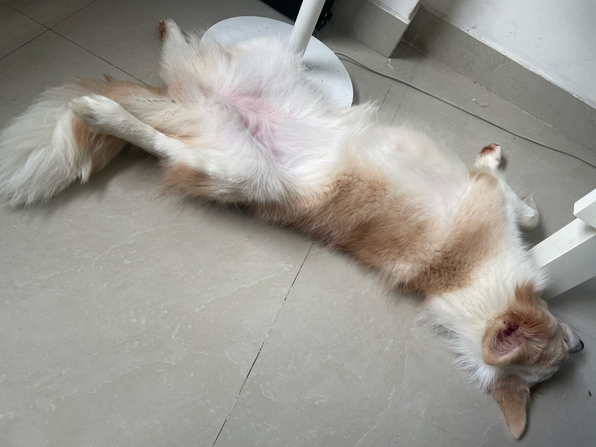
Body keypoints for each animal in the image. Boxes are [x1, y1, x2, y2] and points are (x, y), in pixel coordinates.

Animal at [0, 19, 584, 439]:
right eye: (558, 345)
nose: (581, 348)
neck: (467, 283)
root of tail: (192, 107)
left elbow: (522, 208)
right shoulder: (487, 196)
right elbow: (520, 204)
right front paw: (498, 164)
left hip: (243, 126)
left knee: (181, 72)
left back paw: (160, 44)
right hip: (245, 148)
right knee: (162, 124)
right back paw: (104, 109)